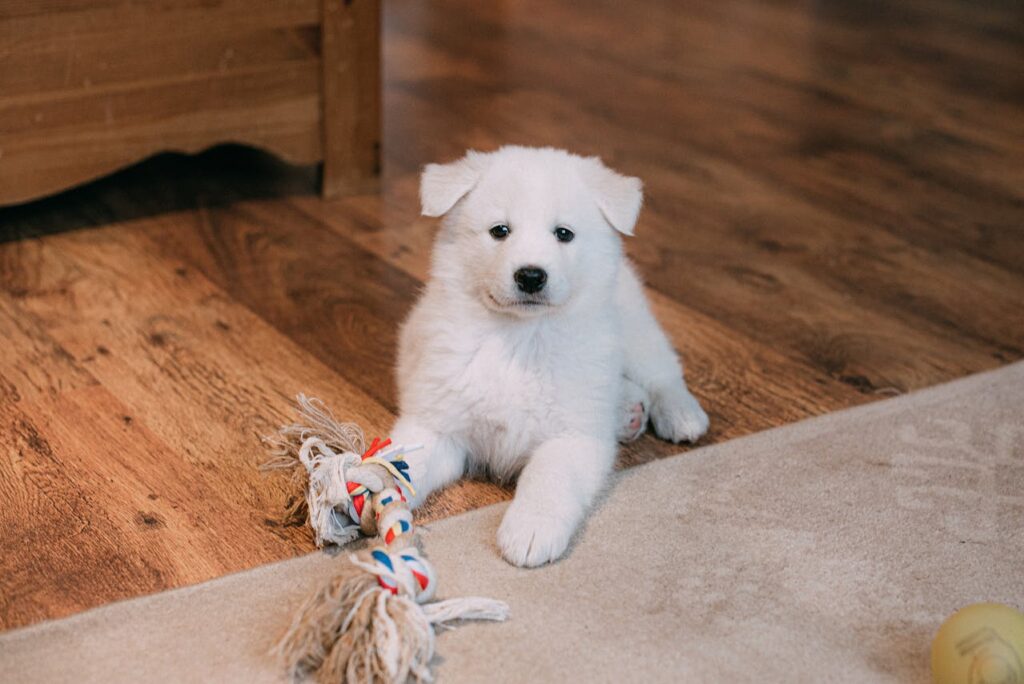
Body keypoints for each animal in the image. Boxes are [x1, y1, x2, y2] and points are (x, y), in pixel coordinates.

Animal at [389, 145, 704, 565]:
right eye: (500, 231)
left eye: (563, 234)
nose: (531, 276)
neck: (521, 338)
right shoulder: (437, 423)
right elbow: (405, 459)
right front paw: (360, 488)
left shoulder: (571, 437)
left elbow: (549, 477)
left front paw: (530, 529)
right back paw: (627, 411)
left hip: (634, 326)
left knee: (662, 371)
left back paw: (681, 414)